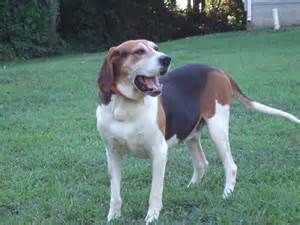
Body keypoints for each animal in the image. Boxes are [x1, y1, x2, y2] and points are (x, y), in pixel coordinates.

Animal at [96, 39, 300, 223]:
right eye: (139, 51)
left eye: (156, 48)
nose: (166, 59)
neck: (125, 106)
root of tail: (217, 70)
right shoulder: (112, 154)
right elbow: (115, 193)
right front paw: (113, 217)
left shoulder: (159, 152)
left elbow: (155, 192)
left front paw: (152, 217)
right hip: (191, 136)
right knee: (202, 163)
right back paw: (191, 188)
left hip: (218, 129)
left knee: (231, 166)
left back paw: (227, 194)